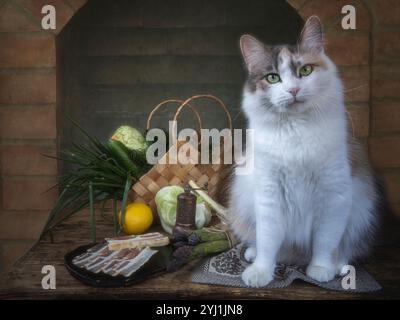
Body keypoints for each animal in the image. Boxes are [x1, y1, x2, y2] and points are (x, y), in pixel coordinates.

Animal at [227, 16, 380, 288]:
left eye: (305, 71)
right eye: (273, 78)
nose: (293, 90)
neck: (296, 130)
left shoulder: (333, 196)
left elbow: (325, 241)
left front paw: (320, 269)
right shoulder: (270, 195)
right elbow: (268, 242)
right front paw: (260, 273)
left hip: (359, 215)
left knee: (344, 250)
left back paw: (337, 267)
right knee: (263, 243)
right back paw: (254, 254)